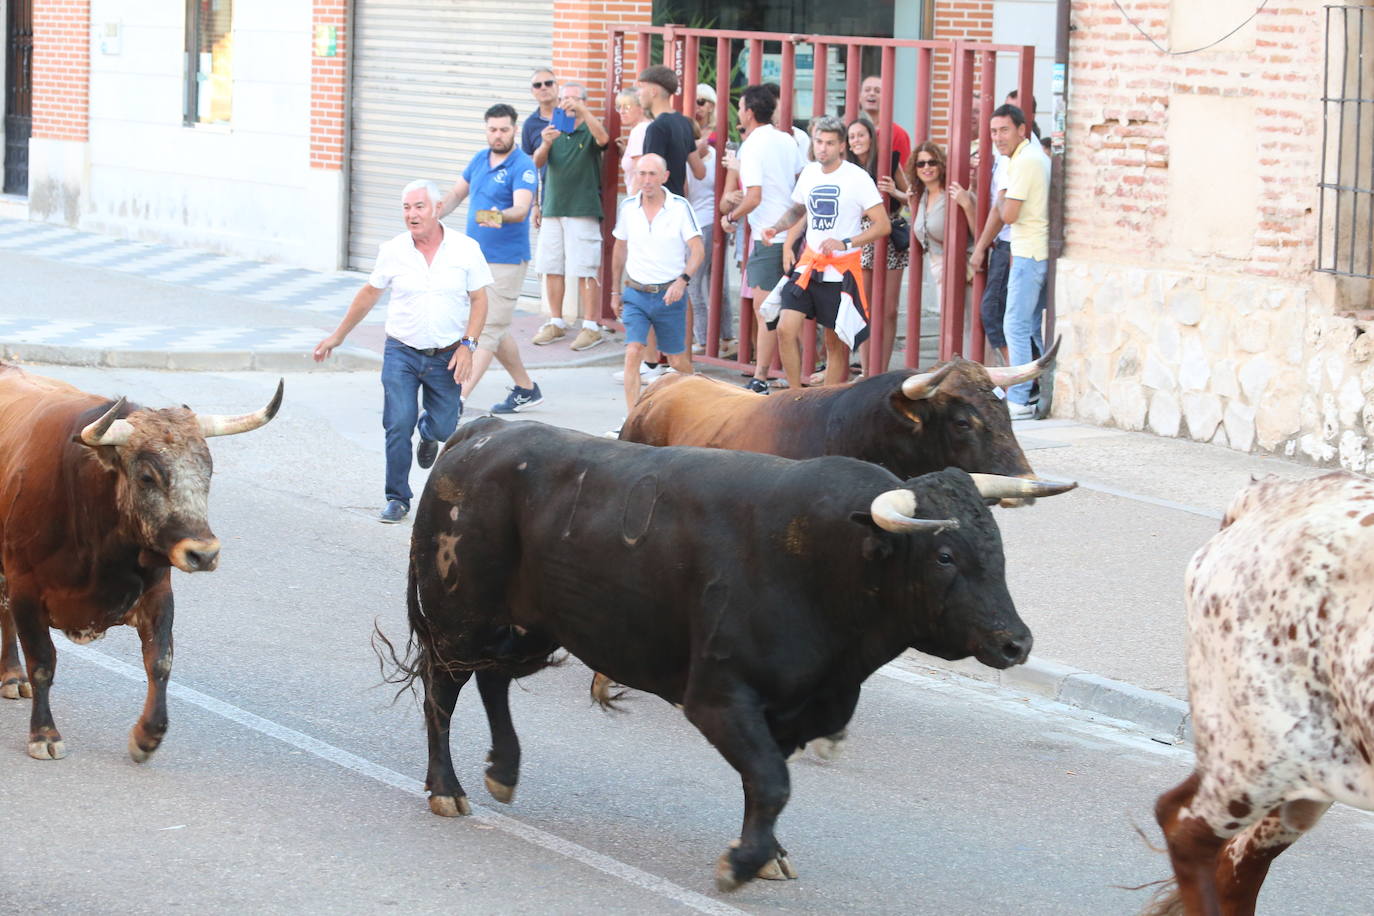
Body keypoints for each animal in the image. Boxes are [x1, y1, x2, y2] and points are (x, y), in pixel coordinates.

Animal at [0, 362, 281, 758]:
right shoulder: (25, 588)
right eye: (147, 476)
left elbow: (160, 660)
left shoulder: (158, 592)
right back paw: (13, 674)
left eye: (208, 471)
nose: (204, 553)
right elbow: (43, 662)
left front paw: (148, 735)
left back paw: (12, 675)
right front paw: (44, 734)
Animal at [387, 420, 1071, 889]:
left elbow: (764, 782)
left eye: (997, 545)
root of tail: (484, 432)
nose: (1016, 642)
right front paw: (743, 862)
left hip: (529, 626)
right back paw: (447, 788)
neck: (826, 564)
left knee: (493, 682)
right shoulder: (720, 697)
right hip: (458, 619)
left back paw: (503, 771)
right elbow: (770, 780)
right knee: (442, 693)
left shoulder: (792, 711)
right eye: (945, 555)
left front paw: (767, 854)